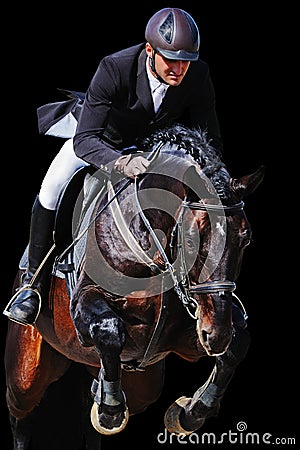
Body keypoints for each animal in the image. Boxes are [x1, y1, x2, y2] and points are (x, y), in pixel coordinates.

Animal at [3, 124, 264, 450]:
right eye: (191, 240)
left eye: (246, 239)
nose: (215, 336)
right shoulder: (84, 306)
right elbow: (109, 329)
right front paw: (111, 410)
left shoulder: (186, 334)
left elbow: (239, 343)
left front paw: (189, 414)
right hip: (26, 371)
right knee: (21, 415)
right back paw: (27, 301)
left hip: (144, 383)